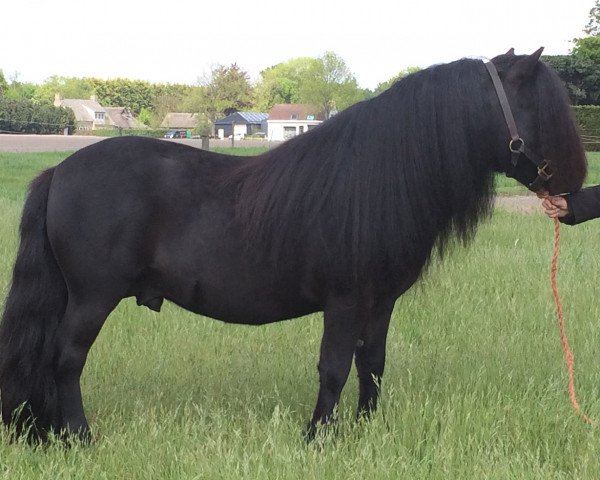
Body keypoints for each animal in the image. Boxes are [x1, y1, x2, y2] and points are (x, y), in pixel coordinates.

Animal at [0, 47, 584, 438]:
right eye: (541, 106)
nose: (577, 183)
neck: (375, 177)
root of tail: (59, 171)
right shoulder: (344, 301)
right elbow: (335, 367)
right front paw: (318, 437)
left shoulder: (380, 303)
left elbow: (372, 363)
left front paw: (365, 431)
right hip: (91, 299)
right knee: (66, 359)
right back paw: (78, 436)